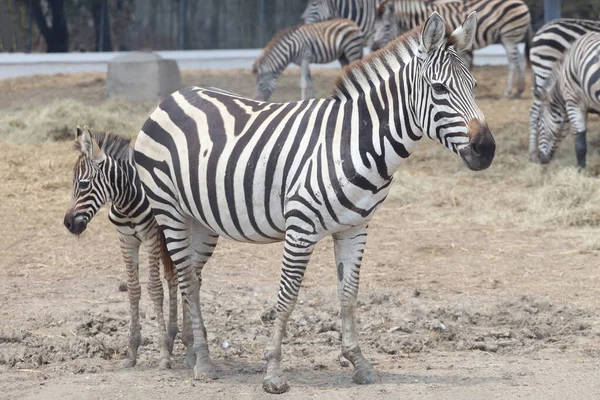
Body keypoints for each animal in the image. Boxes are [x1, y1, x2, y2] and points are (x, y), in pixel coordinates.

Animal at [64, 126, 180, 370]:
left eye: (83, 184)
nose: (68, 224)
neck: (127, 201)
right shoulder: (126, 241)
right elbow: (134, 290)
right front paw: (132, 352)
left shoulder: (151, 238)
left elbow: (155, 289)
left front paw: (163, 355)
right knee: (173, 277)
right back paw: (173, 336)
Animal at [134, 12, 494, 394]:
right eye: (439, 89)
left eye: (473, 85)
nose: (486, 149)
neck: (352, 142)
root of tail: (174, 96)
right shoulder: (300, 229)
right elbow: (287, 297)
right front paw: (273, 372)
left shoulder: (356, 228)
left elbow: (348, 294)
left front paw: (359, 363)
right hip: (169, 210)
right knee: (186, 278)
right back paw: (202, 361)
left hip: (201, 220)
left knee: (192, 278)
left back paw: (191, 353)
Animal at [372, 0, 532, 97]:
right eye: (376, 26)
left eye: (386, 26)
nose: (373, 47)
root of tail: (521, 3)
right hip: (509, 37)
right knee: (520, 60)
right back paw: (519, 90)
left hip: (509, 36)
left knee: (513, 62)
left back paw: (509, 91)